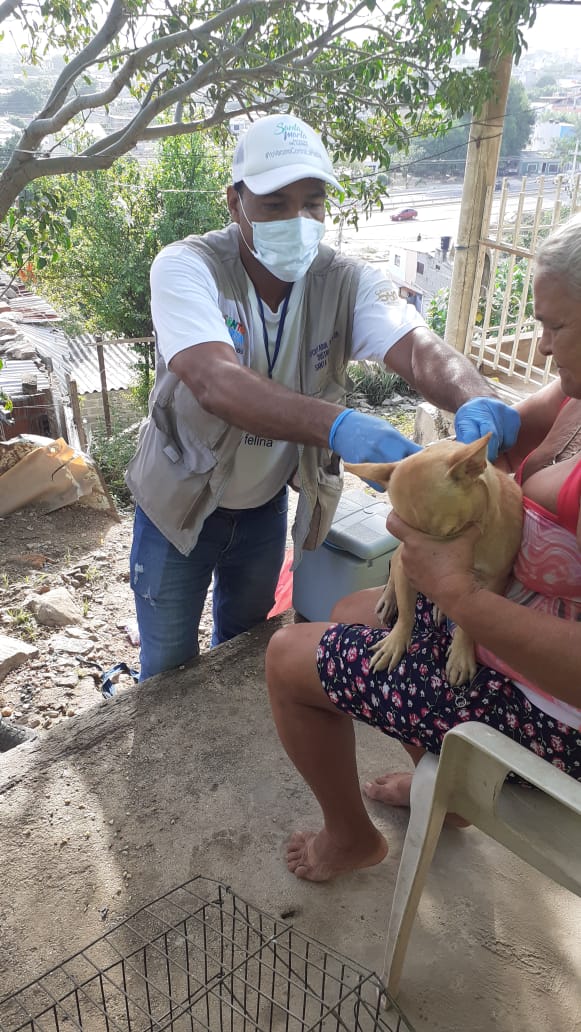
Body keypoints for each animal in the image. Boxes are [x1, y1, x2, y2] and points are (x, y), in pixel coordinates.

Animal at [348, 433, 524, 685]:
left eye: (450, 534)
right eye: (401, 532)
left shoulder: (494, 583)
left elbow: (469, 622)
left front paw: (461, 654)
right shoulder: (405, 560)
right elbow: (406, 612)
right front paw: (395, 641)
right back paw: (390, 598)